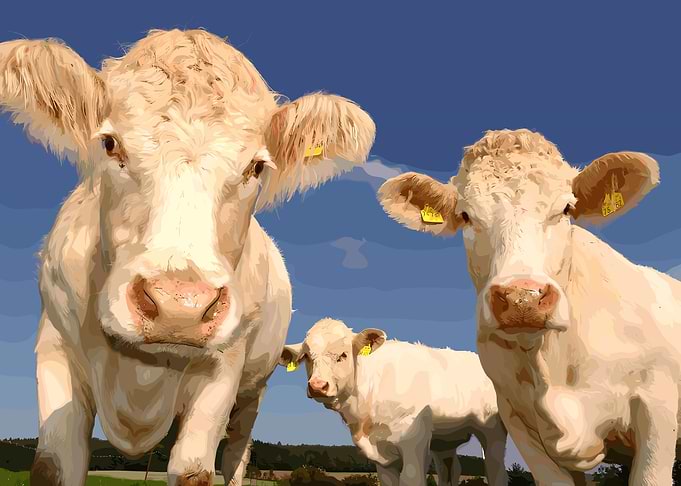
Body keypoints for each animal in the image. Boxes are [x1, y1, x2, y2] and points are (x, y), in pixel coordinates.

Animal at [0, 29, 375, 486]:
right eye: (109, 144)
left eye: (256, 167)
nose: (180, 306)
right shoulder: (56, 348)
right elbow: (53, 465)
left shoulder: (223, 369)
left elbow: (195, 470)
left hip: (251, 395)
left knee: (236, 456)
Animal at [279, 318, 508, 486]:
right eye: (307, 357)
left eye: (343, 355)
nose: (317, 385)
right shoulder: (382, 459)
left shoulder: (414, 442)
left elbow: (412, 479)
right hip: (444, 442)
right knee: (450, 471)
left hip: (492, 430)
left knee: (495, 469)